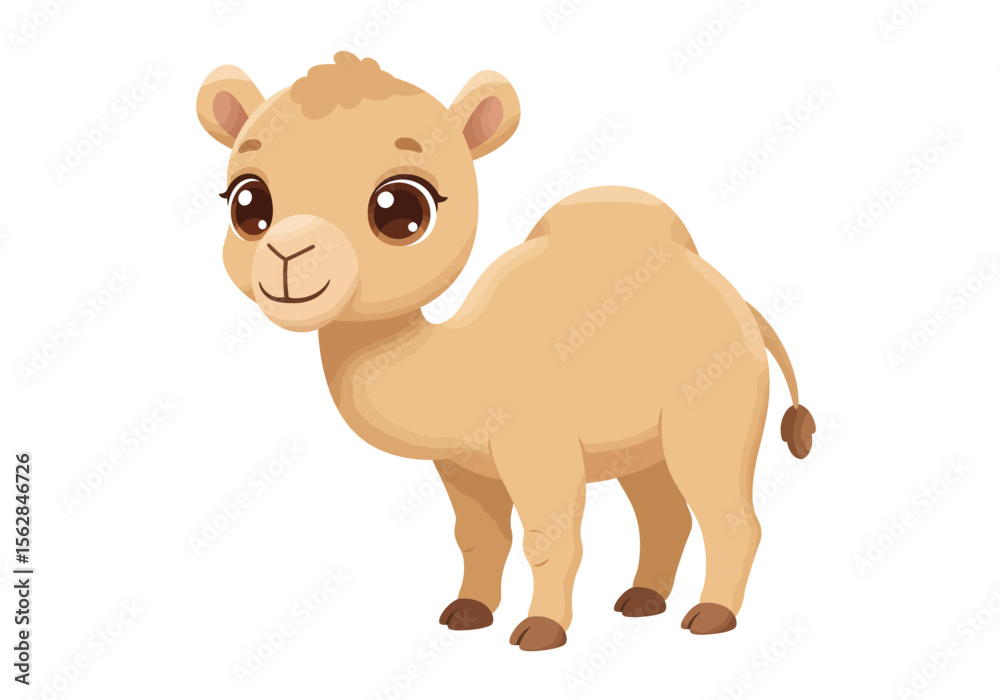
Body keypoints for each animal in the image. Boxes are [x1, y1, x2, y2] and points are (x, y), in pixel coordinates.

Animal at [196, 52, 815, 651]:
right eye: (246, 202)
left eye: (401, 209)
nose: (290, 255)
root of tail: (739, 303)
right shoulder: (461, 465)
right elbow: (476, 537)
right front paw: (468, 613)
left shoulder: (538, 442)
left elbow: (548, 537)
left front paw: (542, 629)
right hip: (642, 443)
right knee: (663, 510)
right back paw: (642, 599)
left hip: (712, 404)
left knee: (726, 511)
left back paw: (712, 616)